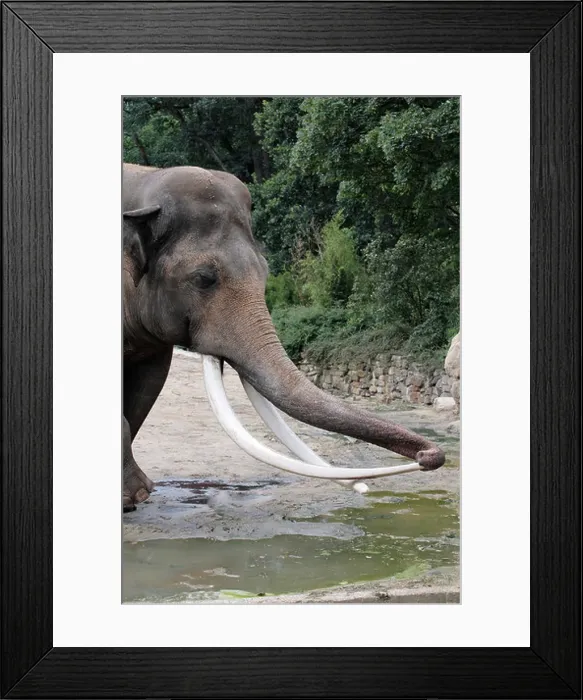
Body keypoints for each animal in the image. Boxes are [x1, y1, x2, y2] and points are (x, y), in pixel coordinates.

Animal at [122, 163, 445, 511]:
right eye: (204, 279)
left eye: (265, 271)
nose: (430, 456)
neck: (147, 180)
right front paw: (133, 498)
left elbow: (146, 388)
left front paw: (133, 498)